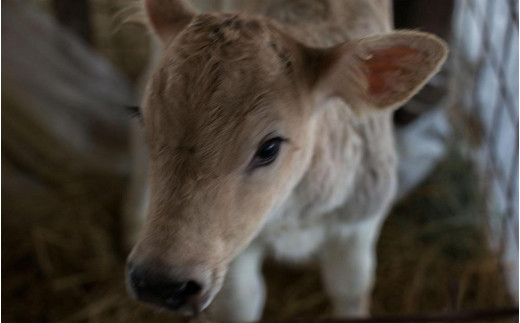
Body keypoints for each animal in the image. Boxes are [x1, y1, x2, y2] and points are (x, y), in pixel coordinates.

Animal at [126, 0, 446, 320]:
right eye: (144, 121)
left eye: (269, 147)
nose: (159, 283)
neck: (295, 216)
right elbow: (242, 304)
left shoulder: (361, 217)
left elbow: (352, 289)